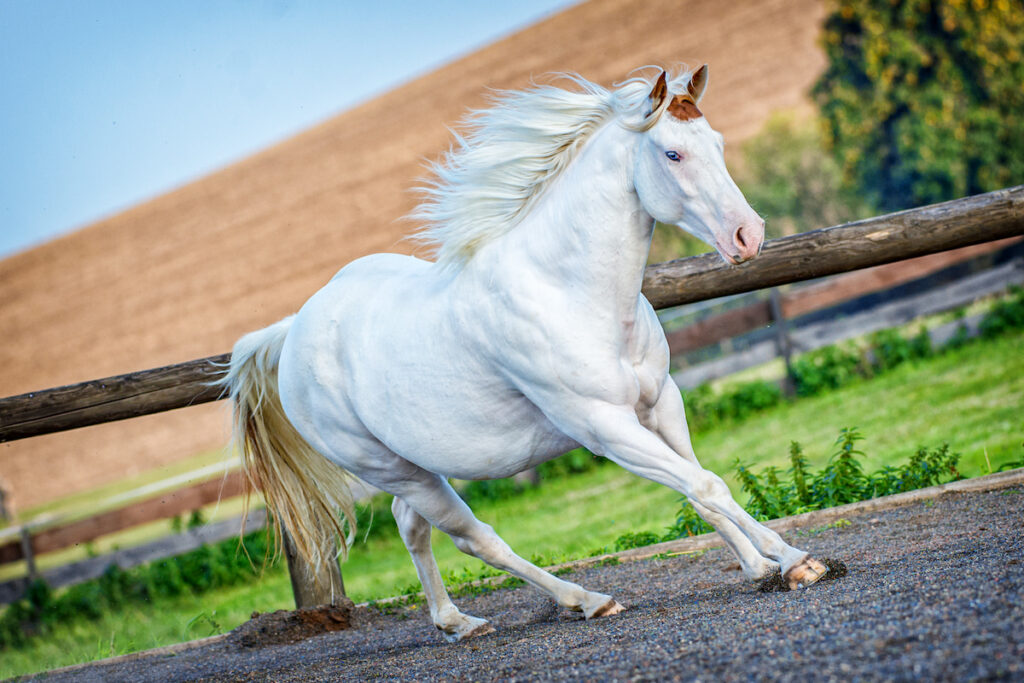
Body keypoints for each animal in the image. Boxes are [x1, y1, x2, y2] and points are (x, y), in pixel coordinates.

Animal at [220, 66, 827, 643]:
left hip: (415, 466)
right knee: (474, 538)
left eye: (716, 142)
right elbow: (704, 484)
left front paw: (757, 566)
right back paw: (585, 600)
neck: (566, 290)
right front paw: (794, 561)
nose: (748, 236)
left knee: (413, 527)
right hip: (391, 468)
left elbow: (700, 486)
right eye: (672, 152)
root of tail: (292, 333)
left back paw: (457, 622)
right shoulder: (605, 427)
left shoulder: (660, 403)